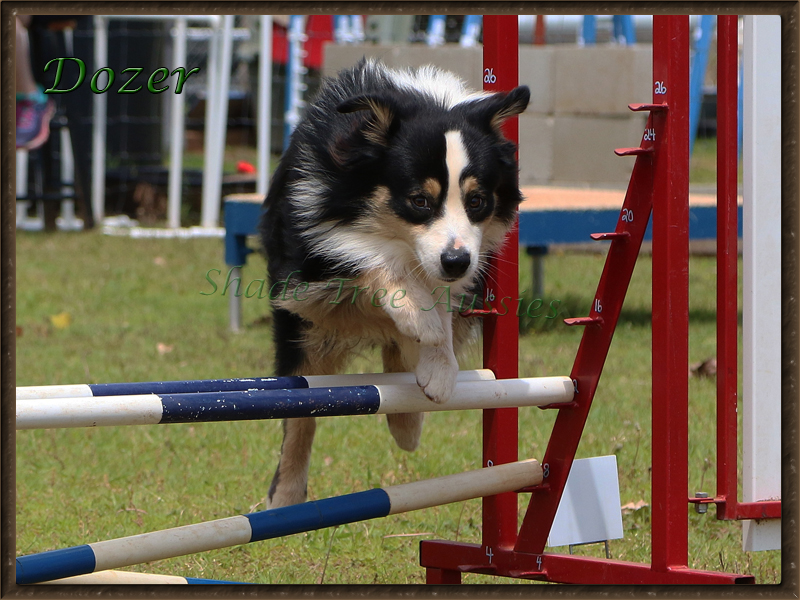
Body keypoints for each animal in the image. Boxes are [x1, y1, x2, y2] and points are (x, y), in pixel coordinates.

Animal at [260, 58, 528, 506]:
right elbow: (371, 260)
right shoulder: (309, 256)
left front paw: (439, 366)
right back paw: (286, 494)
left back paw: (407, 422)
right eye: (419, 200)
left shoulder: (470, 258)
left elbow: (441, 303)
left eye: (477, 201)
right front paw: (419, 316)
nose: (456, 262)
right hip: (305, 333)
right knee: (300, 412)